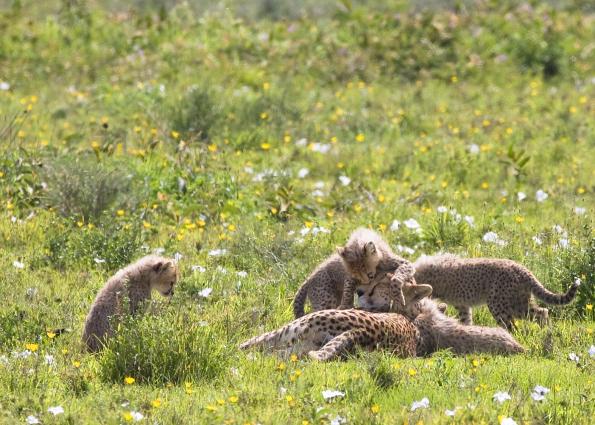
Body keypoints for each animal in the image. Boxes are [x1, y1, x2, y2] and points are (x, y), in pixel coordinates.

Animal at [412, 252, 580, 328]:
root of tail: (521, 268)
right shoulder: (462, 304)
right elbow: (466, 319)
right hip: (518, 301)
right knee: (542, 311)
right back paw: (547, 331)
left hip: (499, 304)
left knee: (514, 323)